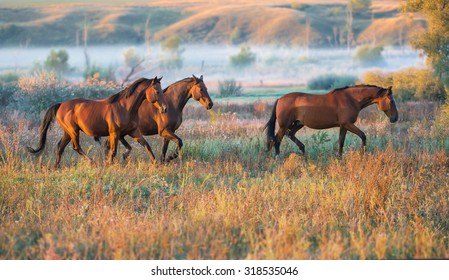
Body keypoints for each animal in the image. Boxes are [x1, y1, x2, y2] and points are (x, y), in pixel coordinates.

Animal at [26, 76, 166, 168]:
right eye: (157, 91)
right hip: (73, 131)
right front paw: (109, 164)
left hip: (68, 132)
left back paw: (56, 167)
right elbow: (113, 151)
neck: (125, 107)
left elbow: (146, 145)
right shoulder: (114, 133)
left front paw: (155, 163)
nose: (164, 108)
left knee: (60, 147)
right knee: (76, 147)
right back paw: (91, 162)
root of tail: (61, 105)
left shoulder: (133, 131)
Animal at [264, 84, 398, 158]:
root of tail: (280, 99)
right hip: (284, 125)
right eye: (391, 101)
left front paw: (339, 158)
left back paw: (303, 152)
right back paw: (277, 158)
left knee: (289, 135)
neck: (350, 99)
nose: (395, 118)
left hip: (298, 124)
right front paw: (362, 154)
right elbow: (363, 135)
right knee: (276, 140)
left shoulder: (343, 126)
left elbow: (341, 142)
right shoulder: (347, 124)